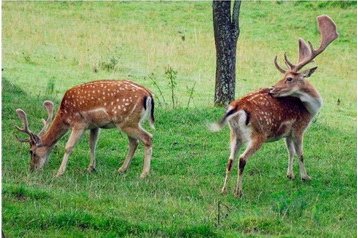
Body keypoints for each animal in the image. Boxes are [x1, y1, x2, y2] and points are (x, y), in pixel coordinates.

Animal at [14, 80, 155, 178]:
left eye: (31, 152)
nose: (32, 169)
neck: (64, 116)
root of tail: (148, 95)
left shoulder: (79, 124)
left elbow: (68, 147)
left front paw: (59, 172)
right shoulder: (94, 125)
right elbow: (92, 144)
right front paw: (91, 168)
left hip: (126, 122)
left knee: (148, 138)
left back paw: (144, 174)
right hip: (130, 122)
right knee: (134, 142)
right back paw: (121, 169)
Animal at [210, 14, 338, 197]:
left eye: (288, 78)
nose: (271, 88)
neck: (309, 109)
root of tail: (237, 107)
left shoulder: (287, 133)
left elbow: (290, 152)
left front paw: (290, 175)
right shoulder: (299, 128)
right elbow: (300, 154)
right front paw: (305, 177)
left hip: (234, 134)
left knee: (230, 159)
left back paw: (223, 189)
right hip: (258, 134)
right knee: (242, 159)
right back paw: (238, 192)